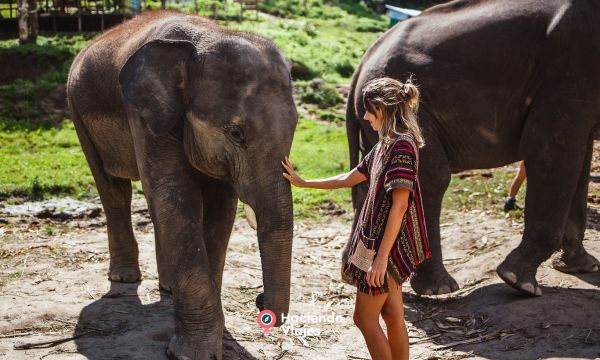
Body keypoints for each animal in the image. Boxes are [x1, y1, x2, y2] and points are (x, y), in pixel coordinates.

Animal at [68, 10, 298, 360]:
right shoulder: (144, 114)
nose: (260, 301)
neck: (207, 36)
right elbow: (176, 196)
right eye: (236, 133)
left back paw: (167, 287)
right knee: (115, 191)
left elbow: (219, 209)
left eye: (295, 127)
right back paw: (124, 277)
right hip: (77, 111)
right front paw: (192, 353)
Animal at [346, 0, 600, 296]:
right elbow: (549, 150)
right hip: (411, 110)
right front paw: (519, 282)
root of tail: (362, 64)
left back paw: (356, 275)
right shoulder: (569, 72)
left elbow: (579, 157)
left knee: (371, 180)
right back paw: (439, 288)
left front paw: (583, 267)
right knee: (430, 177)